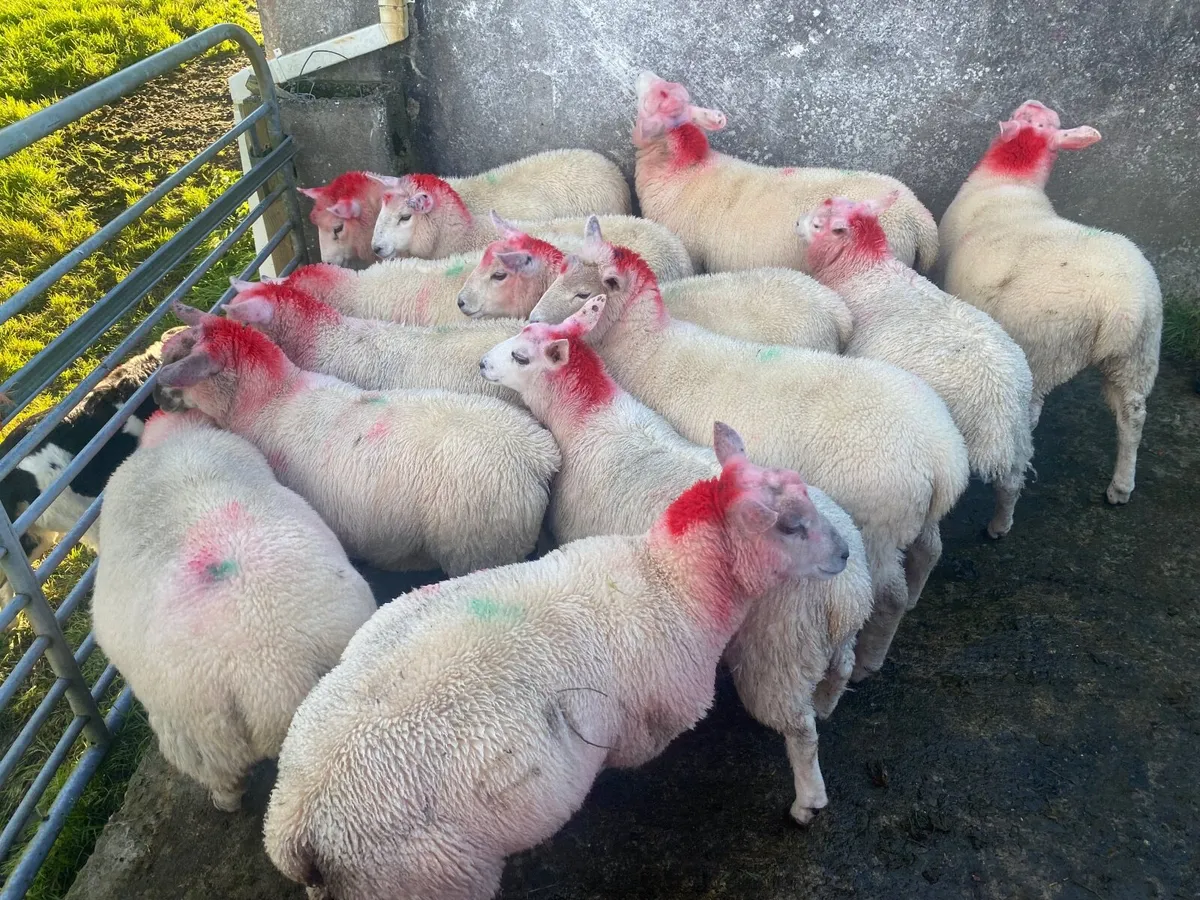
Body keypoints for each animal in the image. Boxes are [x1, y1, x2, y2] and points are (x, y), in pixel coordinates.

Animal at [263, 422, 851, 900]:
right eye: (791, 526)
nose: (846, 553)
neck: (670, 578)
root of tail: (296, 827)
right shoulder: (642, 722)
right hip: (429, 878)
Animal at [479, 296, 872, 823]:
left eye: (521, 356)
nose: (482, 364)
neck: (587, 420)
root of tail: (846, 593)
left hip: (780, 650)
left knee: (799, 730)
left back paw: (807, 802)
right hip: (824, 640)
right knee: (842, 668)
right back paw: (830, 703)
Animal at [528, 218, 970, 681]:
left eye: (583, 295)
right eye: (559, 276)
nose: (532, 322)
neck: (646, 348)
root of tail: (944, 455)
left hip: (882, 526)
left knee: (888, 595)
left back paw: (871, 659)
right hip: (917, 517)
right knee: (929, 551)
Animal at [797, 194, 1035, 538]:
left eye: (818, 225)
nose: (796, 223)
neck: (863, 268)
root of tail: (997, 399)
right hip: (1020, 429)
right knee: (1012, 482)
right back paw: (999, 525)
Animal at [938, 101, 1162, 506]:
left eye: (1034, 121)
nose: (1034, 103)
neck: (1011, 178)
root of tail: (1120, 308)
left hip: (1045, 348)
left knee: (1031, 413)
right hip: (1138, 354)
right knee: (1133, 415)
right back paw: (1121, 486)